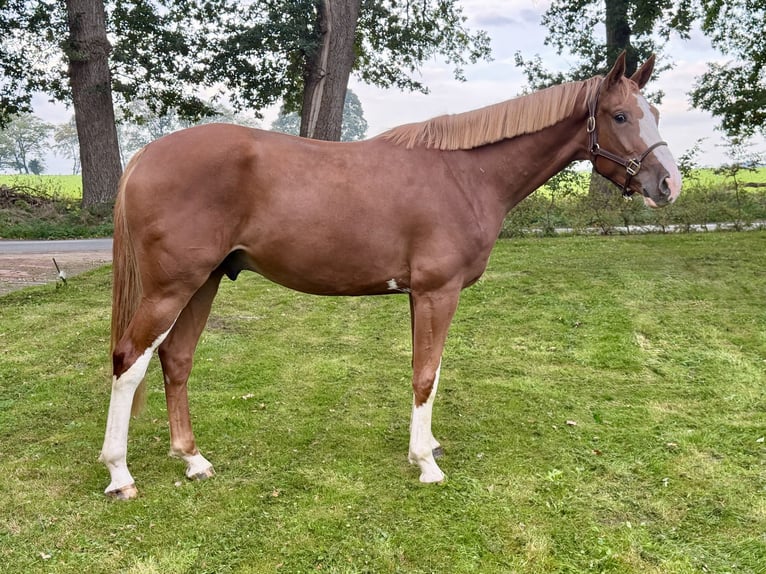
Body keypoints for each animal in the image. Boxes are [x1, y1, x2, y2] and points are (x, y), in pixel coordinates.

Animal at [100, 52, 681, 499]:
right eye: (621, 116)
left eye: (654, 110)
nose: (668, 184)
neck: (466, 174)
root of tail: (146, 155)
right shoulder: (437, 293)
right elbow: (425, 375)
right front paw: (426, 463)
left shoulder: (419, 296)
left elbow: (429, 372)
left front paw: (427, 446)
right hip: (171, 287)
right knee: (129, 361)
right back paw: (120, 474)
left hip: (205, 282)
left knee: (176, 360)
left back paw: (193, 460)